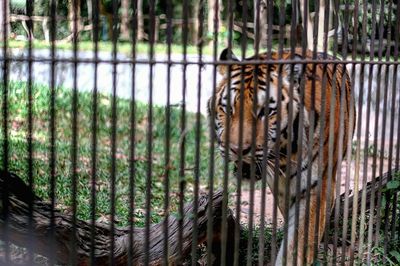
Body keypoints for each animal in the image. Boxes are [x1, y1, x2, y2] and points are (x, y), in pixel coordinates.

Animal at [208, 48, 354, 266]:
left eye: (266, 112)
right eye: (228, 109)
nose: (237, 149)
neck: (286, 155)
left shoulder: (315, 188)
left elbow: (298, 245)